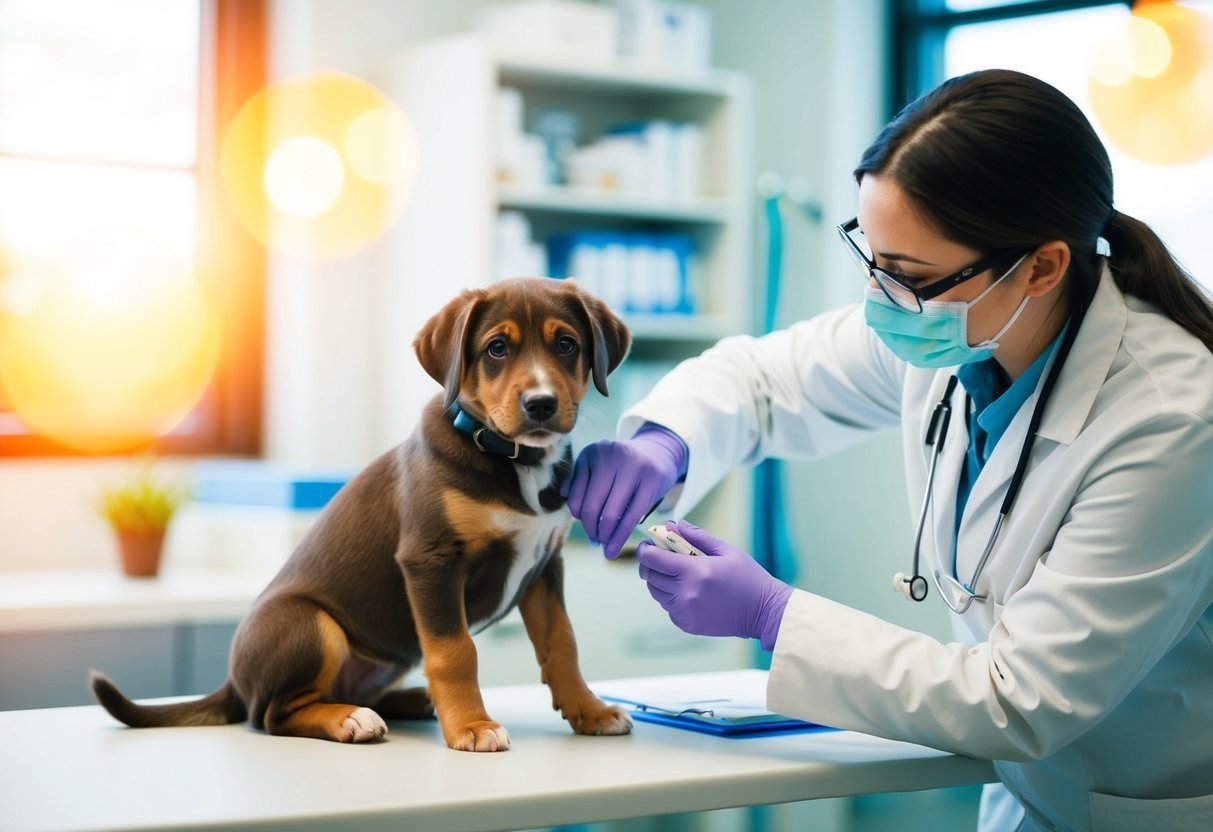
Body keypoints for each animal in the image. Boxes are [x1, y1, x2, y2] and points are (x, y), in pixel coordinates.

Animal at [88, 276, 635, 751]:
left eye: (566, 345)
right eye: (497, 348)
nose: (541, 404)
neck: (515, 460)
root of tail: (233, 682)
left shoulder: (545, 565)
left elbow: (562, 641)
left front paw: (589, 709)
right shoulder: (431, 560)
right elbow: (455, 651)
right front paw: (472, 726)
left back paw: (410, 701)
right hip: (311, 624)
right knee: (274, 714)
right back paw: (351, 720)